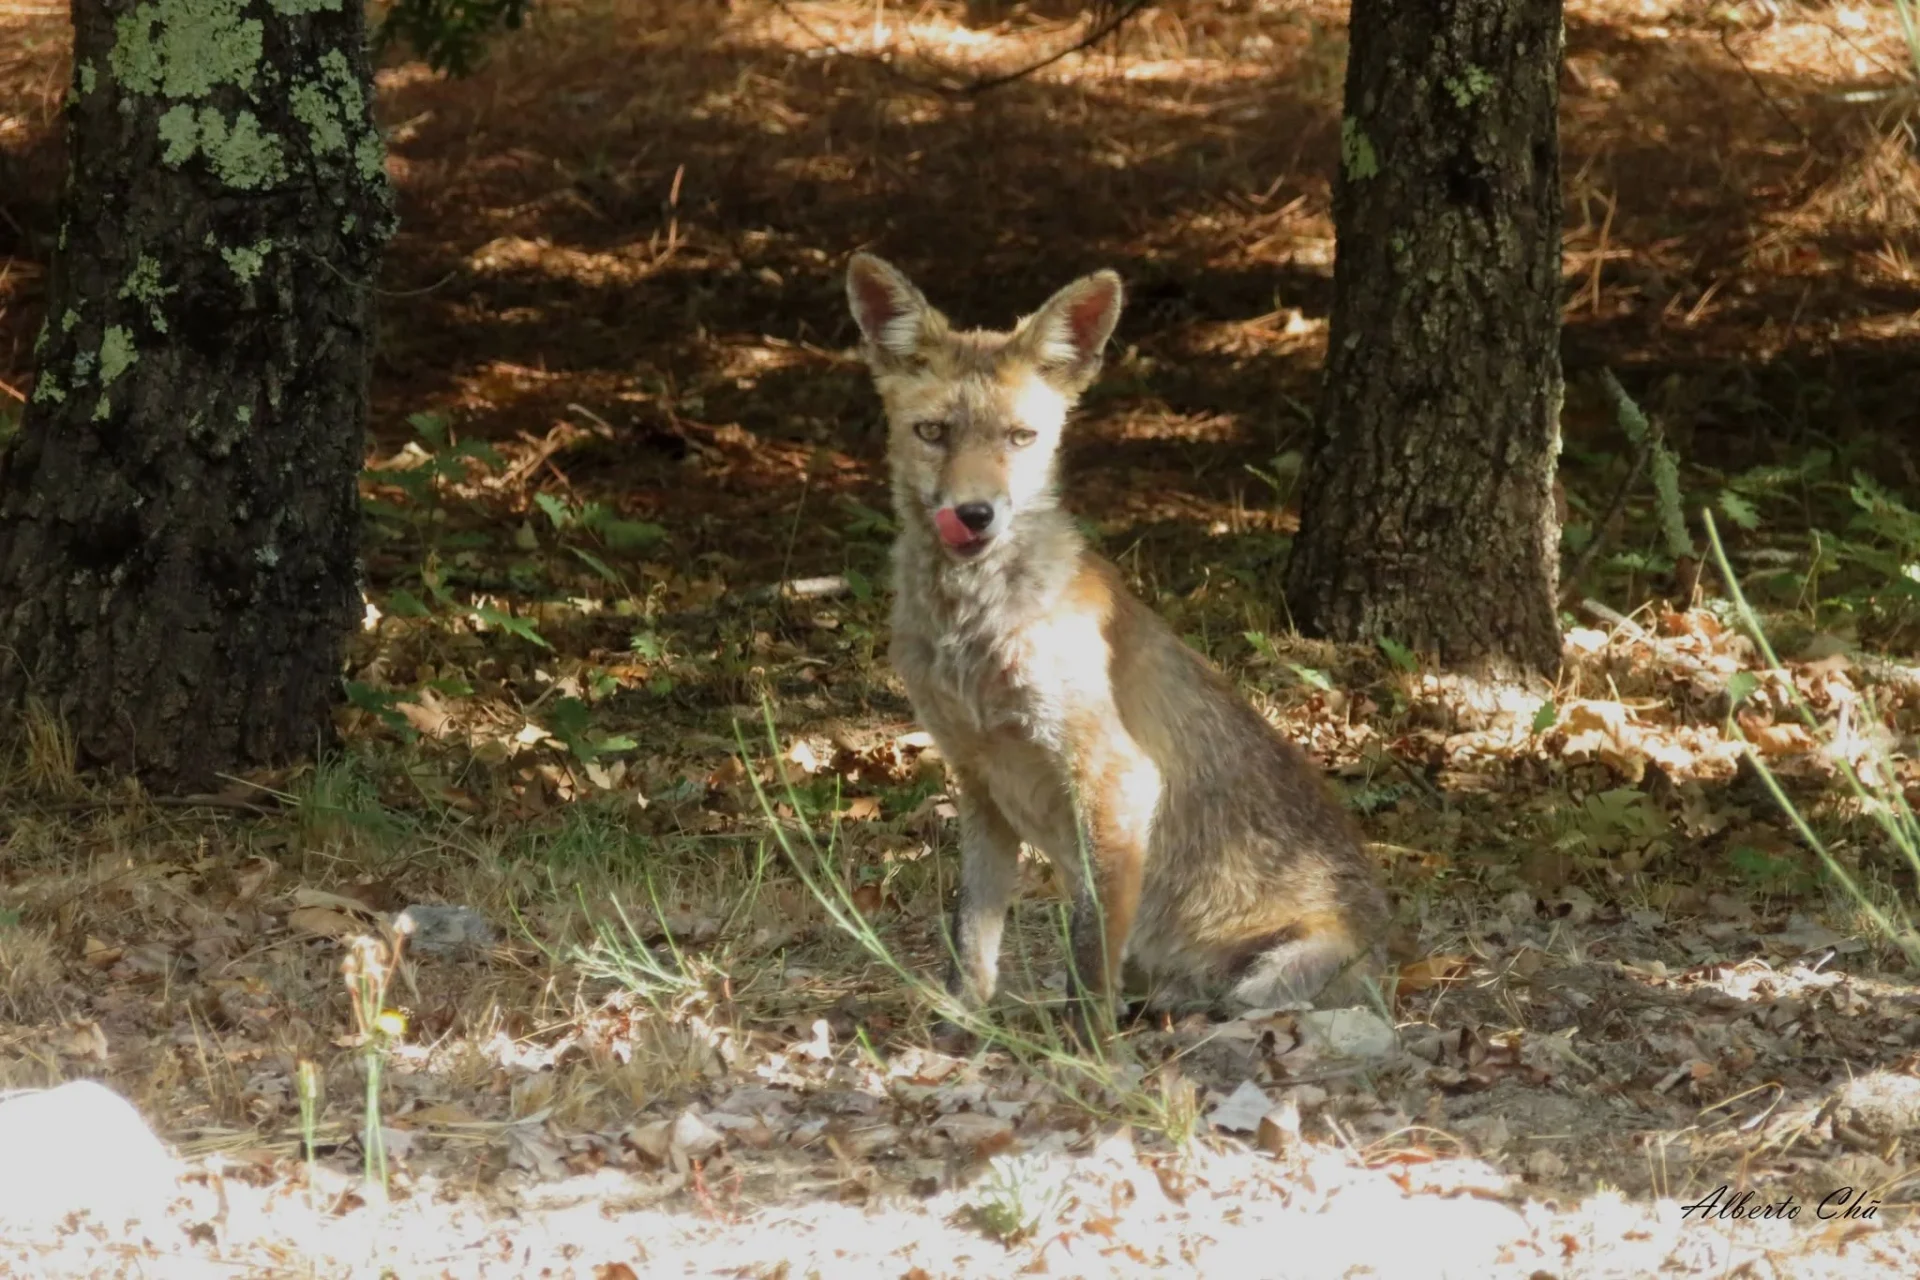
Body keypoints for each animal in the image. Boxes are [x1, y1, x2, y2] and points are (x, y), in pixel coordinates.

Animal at [844, 252, 1390, 1032]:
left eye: (1019, 438)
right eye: (933, 433)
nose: (974, 515)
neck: (974, 639)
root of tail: (1397, 957)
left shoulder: (1116, 780)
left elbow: (1089, 954)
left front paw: (1086, 1052)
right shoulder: (979, 784)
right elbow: (970, 940)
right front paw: (956, 1029)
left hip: (1268, 981)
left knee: (1226, 1004)